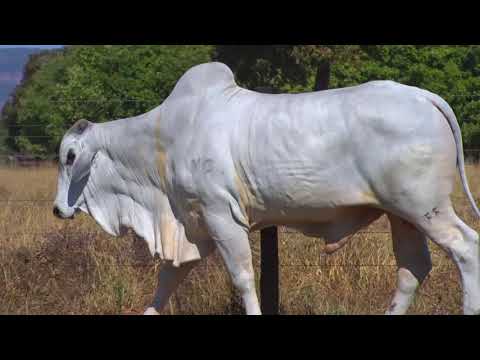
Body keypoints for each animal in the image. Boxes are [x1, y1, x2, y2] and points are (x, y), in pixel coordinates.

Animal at [52, 62, 480, 316]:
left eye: (70, 156)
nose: (58, 209)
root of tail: (423, 95)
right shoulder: (192, 224)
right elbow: (167, 281)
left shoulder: (221, 217)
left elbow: (242, 278)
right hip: (400, 214)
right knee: (412, 269)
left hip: (425, 207)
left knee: (466, 250)